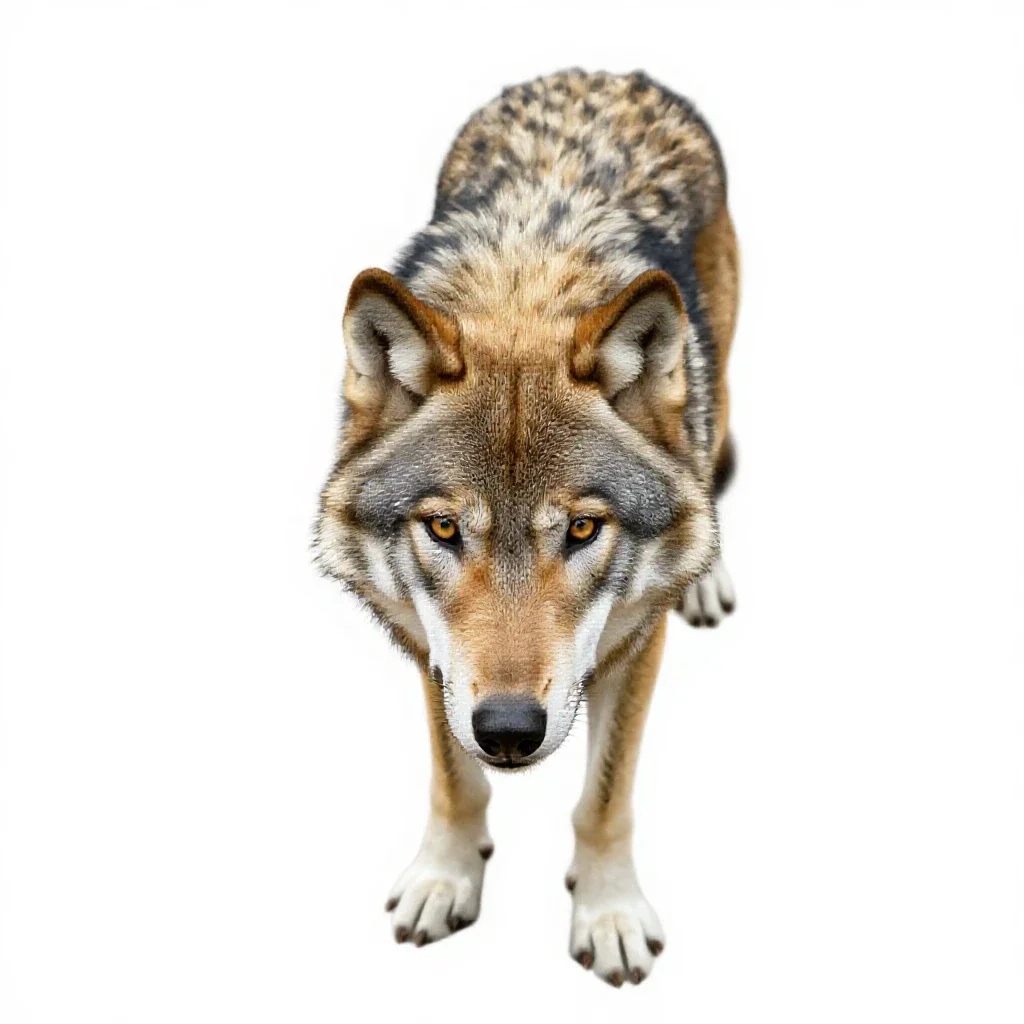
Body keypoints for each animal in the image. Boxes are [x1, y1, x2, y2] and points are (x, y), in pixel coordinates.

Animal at [315, 69, 739, 986]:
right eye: (443, 528)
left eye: (581, 530)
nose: (508, 731)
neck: (524, 282)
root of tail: (606, 74)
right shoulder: (434, 648)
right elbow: (454, 778)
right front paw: (444, 877)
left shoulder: (634, 640)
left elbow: (604, 798)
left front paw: (609, 914)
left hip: (715, 367)